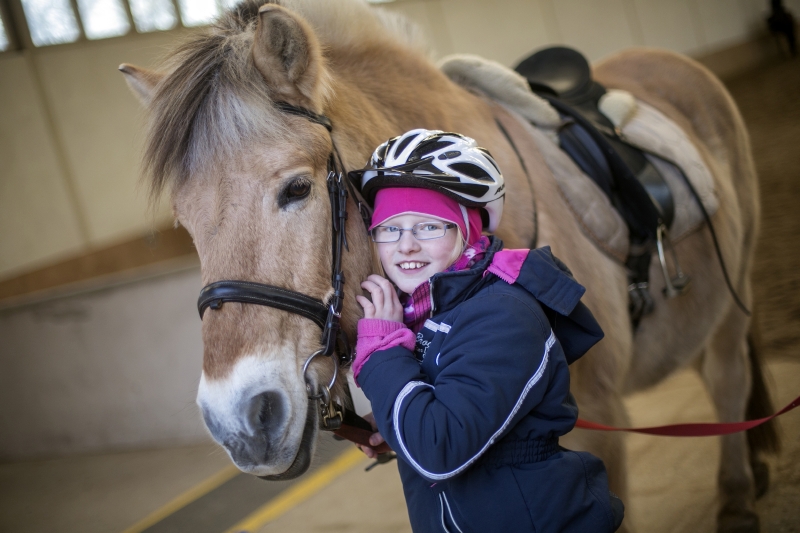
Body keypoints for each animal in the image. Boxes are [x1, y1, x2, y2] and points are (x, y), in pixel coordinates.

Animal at [119, 2, 776, 528]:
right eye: (186, 223)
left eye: (297, 189)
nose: (238, 421)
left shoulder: (602, 420)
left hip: (736, 280)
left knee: (728, 372)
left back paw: (739, 494)